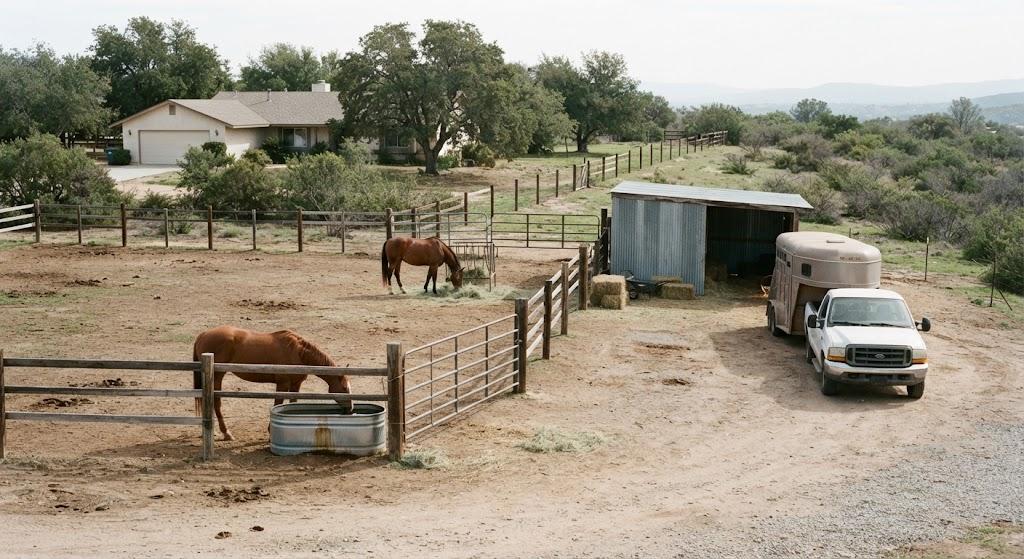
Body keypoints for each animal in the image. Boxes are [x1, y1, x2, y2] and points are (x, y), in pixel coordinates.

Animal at [192, 325, 352, 441]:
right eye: (344, 388)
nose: (351, 409)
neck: (298, 352)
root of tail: (203, 334)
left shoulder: (295, 384)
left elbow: (292, 403)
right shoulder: (282, 384)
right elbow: (277, 402)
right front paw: (270, 432)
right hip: (217, 377)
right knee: (216, 402)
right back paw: (226, 433)